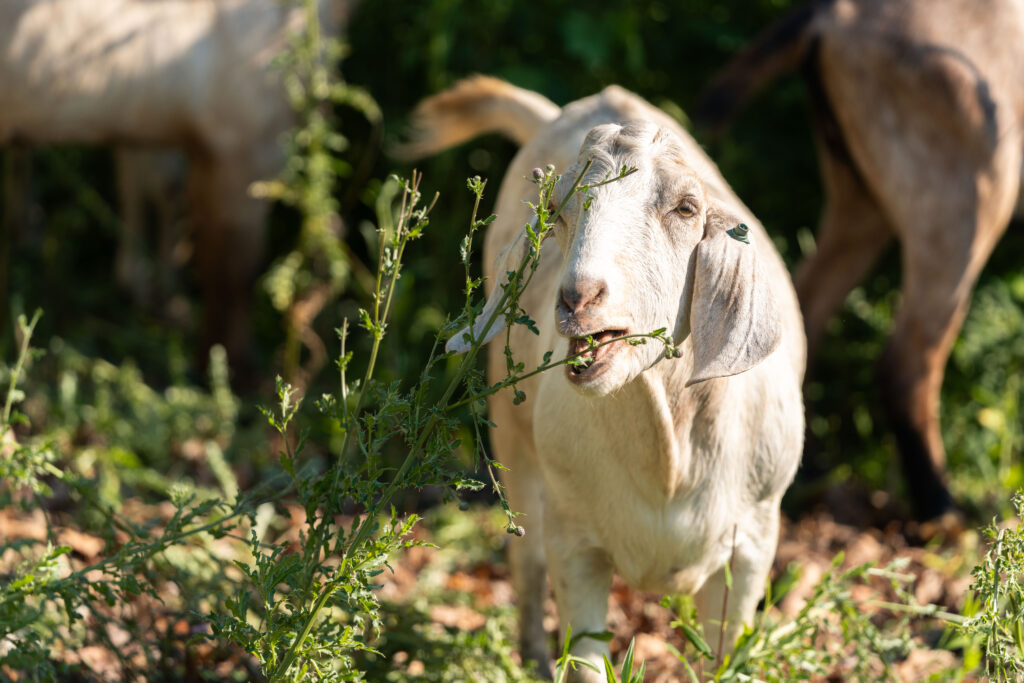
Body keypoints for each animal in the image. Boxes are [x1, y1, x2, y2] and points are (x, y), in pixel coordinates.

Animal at [696, 0, 1024, 518]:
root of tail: (833, 13)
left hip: (862, 200)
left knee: (804, 311)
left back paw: (805, 477)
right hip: (963, 200)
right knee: (905, 362)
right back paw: (942, 511)